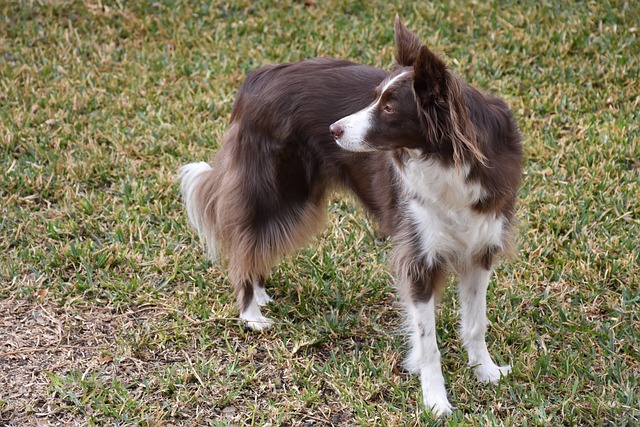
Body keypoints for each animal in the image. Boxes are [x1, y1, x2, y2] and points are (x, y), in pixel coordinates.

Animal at [178, 17, 524, 418]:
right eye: (374, 97)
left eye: (389, 107)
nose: (334, 129)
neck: (448, 160)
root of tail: (255, 79)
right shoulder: (418, 253)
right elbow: (429, 340)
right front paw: (435, 400)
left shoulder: (481, 246)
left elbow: (476, 322)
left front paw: (485, 371)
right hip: (277, 192)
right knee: (245, 242)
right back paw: (251, 313)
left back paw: (260, 294)